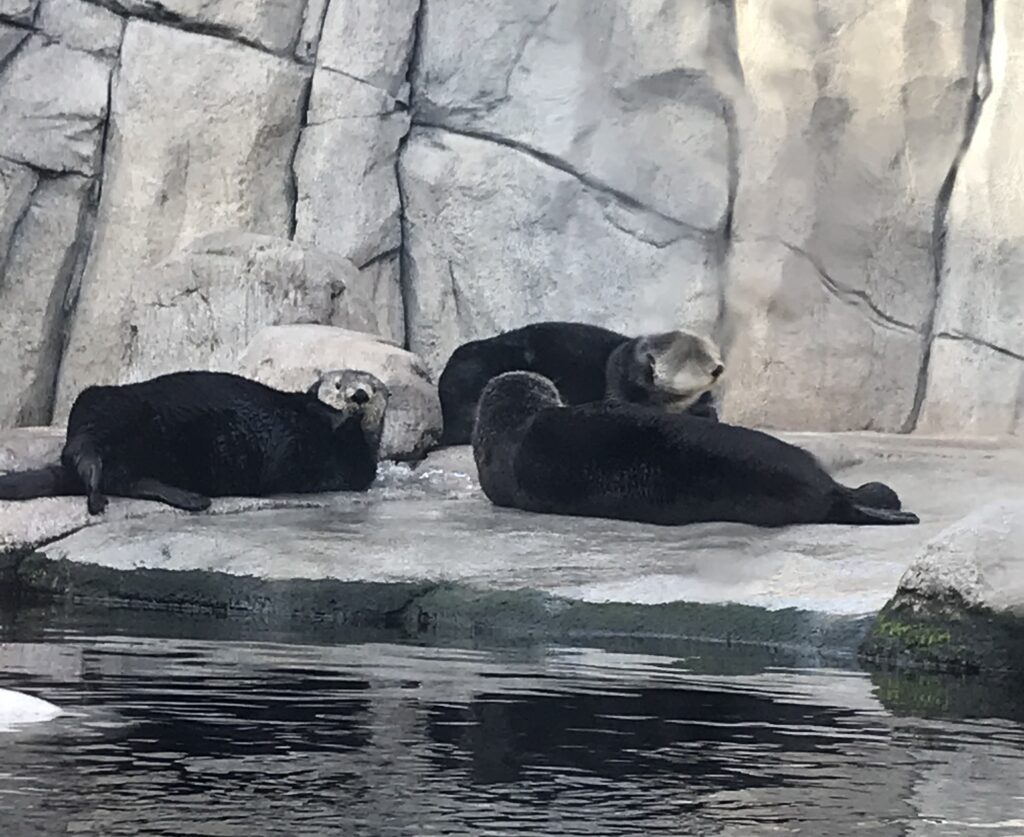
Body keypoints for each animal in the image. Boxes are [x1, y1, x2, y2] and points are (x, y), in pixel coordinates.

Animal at [0, 369, 390, 515]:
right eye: (338, 384)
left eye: (373, 387)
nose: (358, 395)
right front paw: (341, 414)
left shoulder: (352, 467)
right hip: (103, 403)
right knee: (85, 454)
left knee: (122, 477)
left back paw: (190, 498)